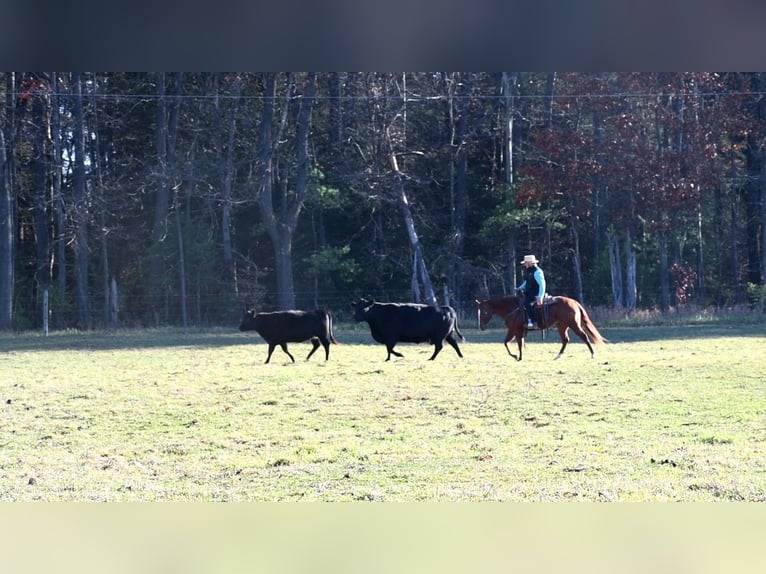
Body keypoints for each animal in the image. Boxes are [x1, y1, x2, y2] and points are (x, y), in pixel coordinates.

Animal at [476, 294, 608, 362]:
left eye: (484, 312)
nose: (481, 327)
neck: (512, 308)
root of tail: (574, 302)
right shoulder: (513, 331)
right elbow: (508, 343)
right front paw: (517, 356)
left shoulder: (516, 331)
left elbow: (515, 344)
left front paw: (517, 357)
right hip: (562, 326)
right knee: (565, 340)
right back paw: (557, 356)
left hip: (573, 324)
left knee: (584, 336)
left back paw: (593, 354)